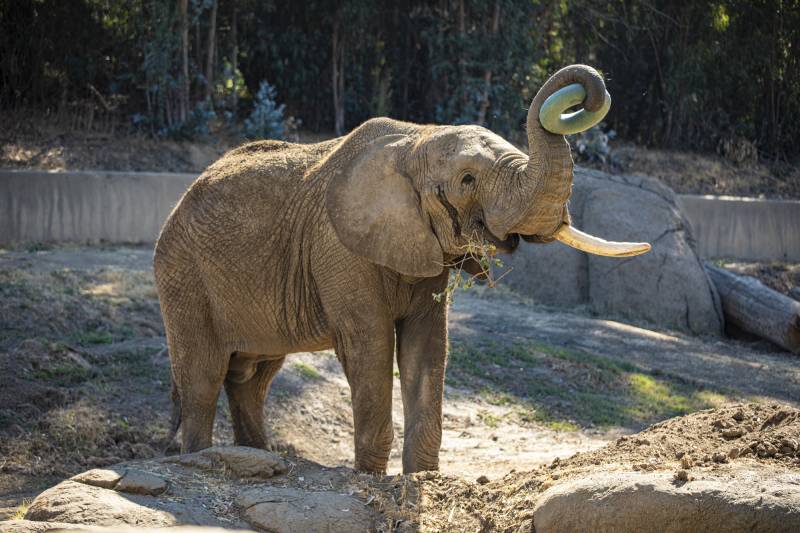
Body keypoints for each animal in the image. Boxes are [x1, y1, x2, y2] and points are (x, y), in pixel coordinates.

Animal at [155, 63, 648, 474]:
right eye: (467, 180)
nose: (587, 89)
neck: (416, 140)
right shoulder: (338, 247)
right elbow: (370, 345)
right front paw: (370, 478)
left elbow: (427, 345)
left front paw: (421, 477)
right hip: (183, 275)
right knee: (203, 378)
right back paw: (202, 458)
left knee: (252, 378)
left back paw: (259, 457)